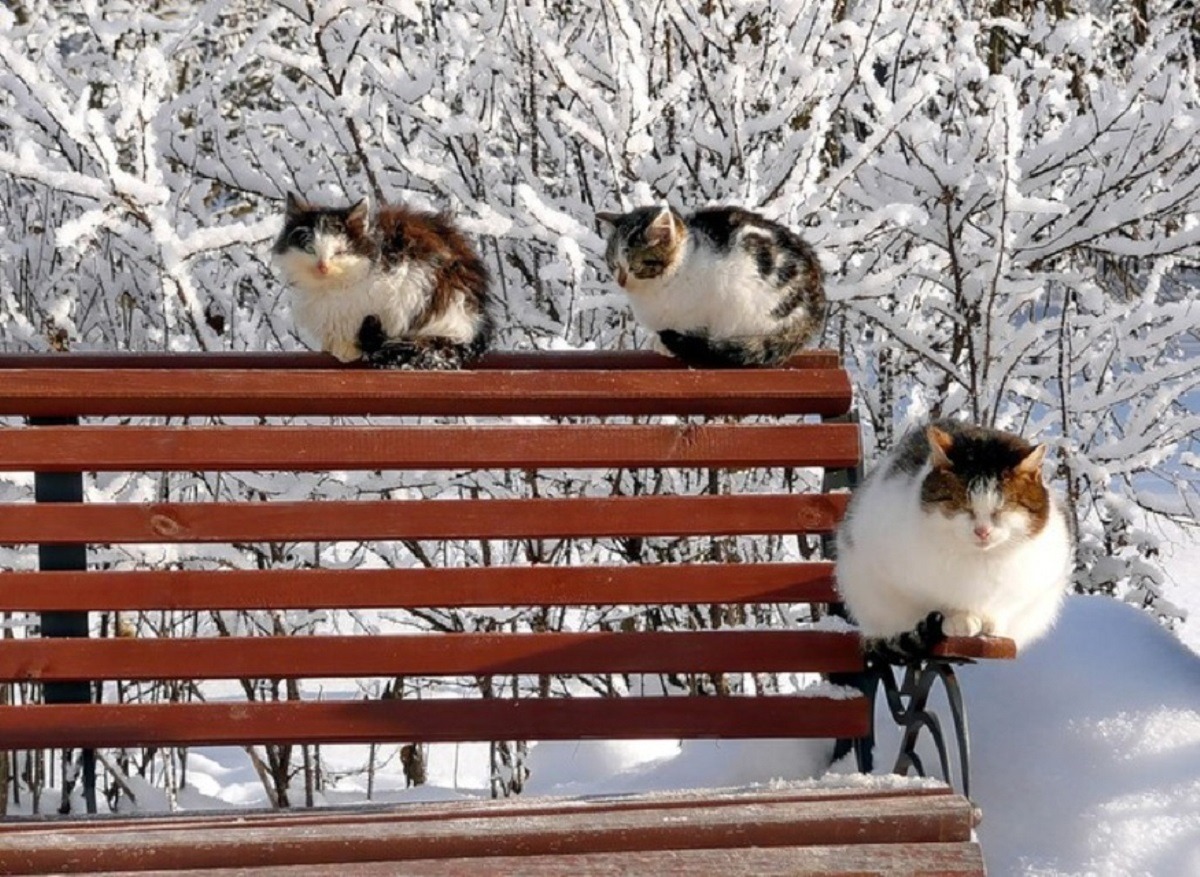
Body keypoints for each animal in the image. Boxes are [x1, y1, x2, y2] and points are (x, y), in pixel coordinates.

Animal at [835, 417, 1080, 657]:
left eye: (1002, 508)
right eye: (963, 505)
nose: (982, 531)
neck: (980, 561)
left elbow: (1005, 603)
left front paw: (991, 621)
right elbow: (935, 601)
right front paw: (959, 619)